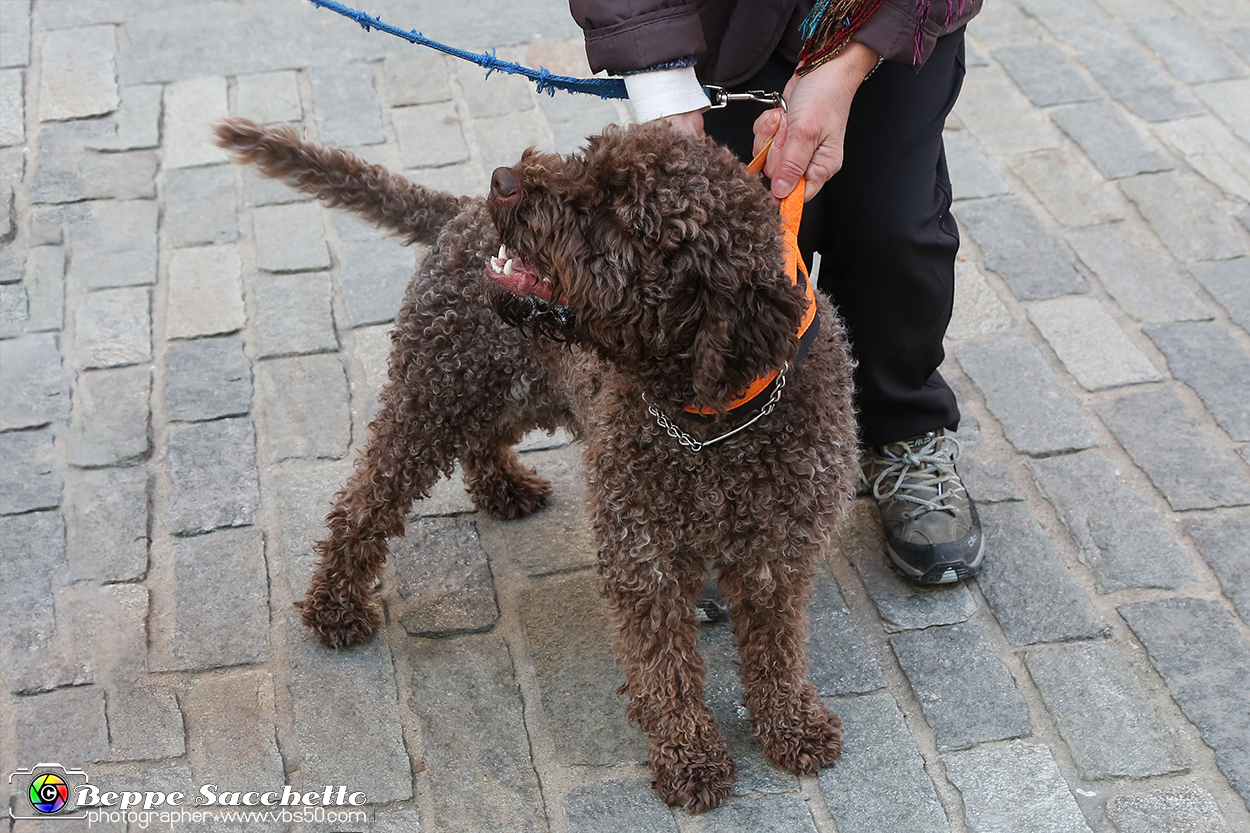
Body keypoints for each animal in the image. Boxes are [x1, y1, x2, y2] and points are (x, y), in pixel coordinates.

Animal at [212, 118, 860, 810]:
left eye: (619, 217)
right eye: (587, 158)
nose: (505, 180)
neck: (716, 421)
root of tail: (459, 212)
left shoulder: (779, 554)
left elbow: (777, 650)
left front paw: (790, 724)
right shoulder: (642, 555)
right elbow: (666, 667)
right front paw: (689, 756)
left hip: (511, 385)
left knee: (475, 443)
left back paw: (502, 486)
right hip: (435, 394)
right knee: (365, 501)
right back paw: (335, 604)